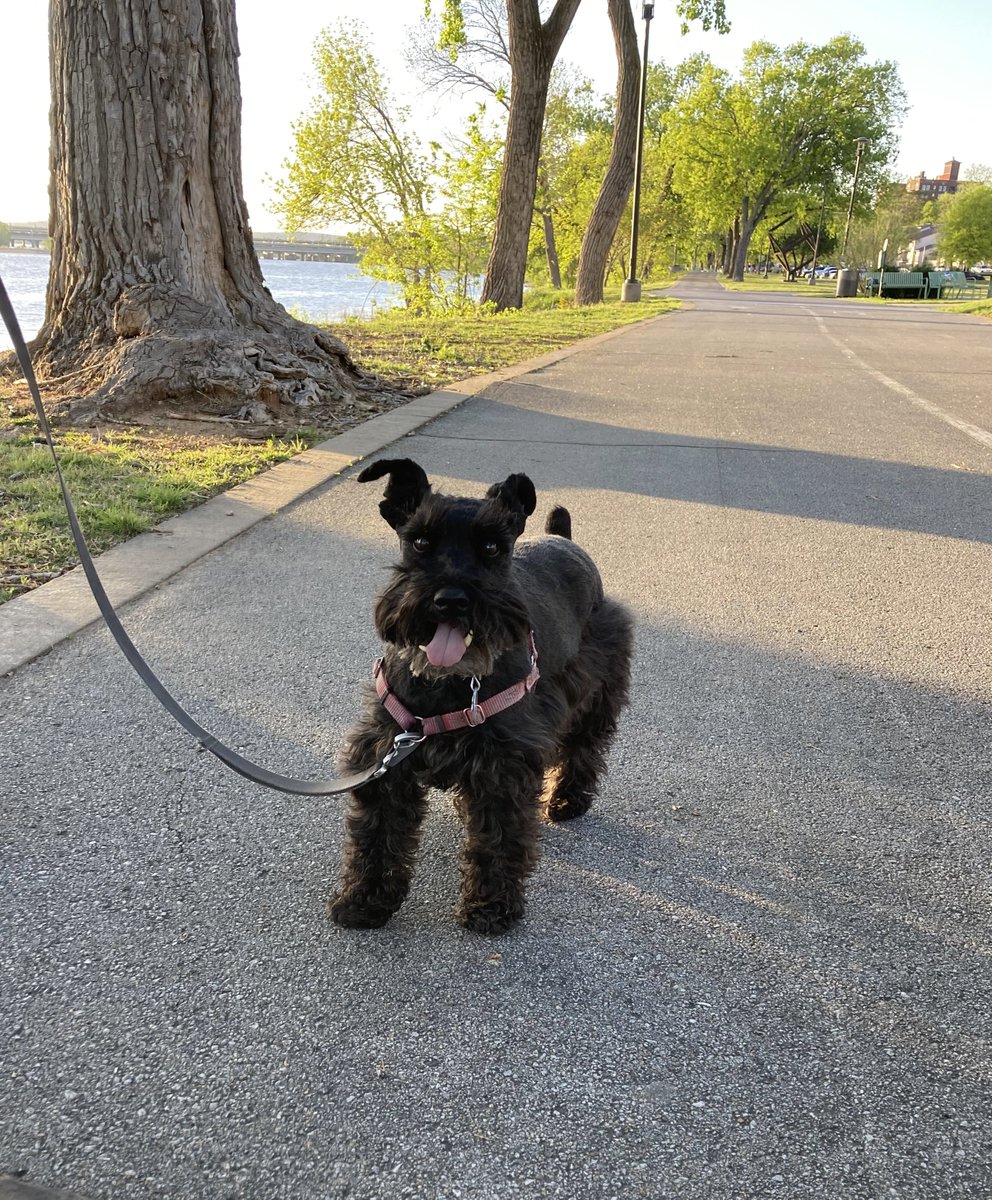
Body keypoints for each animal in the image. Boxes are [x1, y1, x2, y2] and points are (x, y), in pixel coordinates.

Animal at [328, 458, 633, 936]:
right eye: (420, 540)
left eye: (492, 546)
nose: (451, 600)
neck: (448, 684)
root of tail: (563, 537)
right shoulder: (386, 756)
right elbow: (377, 835)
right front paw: (364, 899)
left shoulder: (504, 766)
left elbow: (499, 839)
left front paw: (491, 907)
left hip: (597, 689)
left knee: (583, 748)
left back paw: (568, 799)